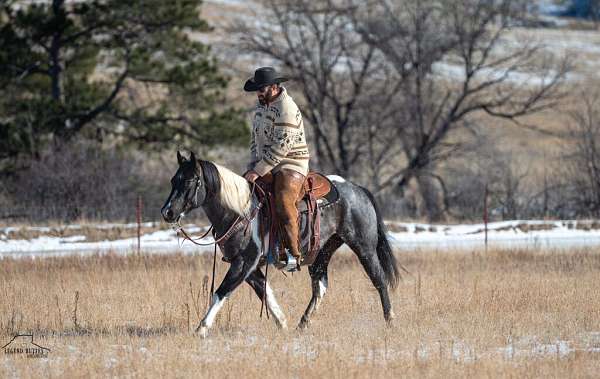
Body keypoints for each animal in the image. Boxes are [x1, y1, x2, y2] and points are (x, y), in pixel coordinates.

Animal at [159, 153, 404, 336]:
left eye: (189, 181)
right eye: (173, 180)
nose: (167, 212)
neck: (240, 210)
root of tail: (358, 189)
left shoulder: (243, 263)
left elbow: (221, 292)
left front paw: (201, 328)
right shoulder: (250, 267)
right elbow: (266, 292)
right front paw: (283, 323)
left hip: (364, 247)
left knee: (379, 280)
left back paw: (390, 321)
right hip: (322, 252)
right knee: (320, 286)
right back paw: (302, 324)